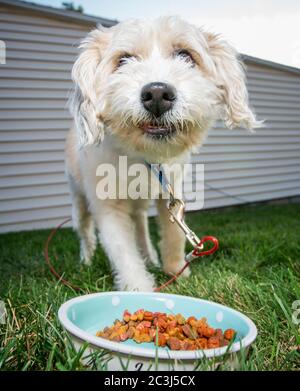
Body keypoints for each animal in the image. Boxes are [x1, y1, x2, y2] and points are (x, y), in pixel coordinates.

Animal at [65, 16, 258, 290]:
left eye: (185, 55)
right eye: (123, 60)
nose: (157, 93)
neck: (143, 157)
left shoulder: (172, 192)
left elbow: (174, 233)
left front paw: (176, 270)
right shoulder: (108, 206)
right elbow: (123, 252)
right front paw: (138, 288)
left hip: (139, 207)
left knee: (141, 229)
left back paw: (150, 257)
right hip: (79, 199)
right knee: (85, 231)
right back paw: (86, 259)